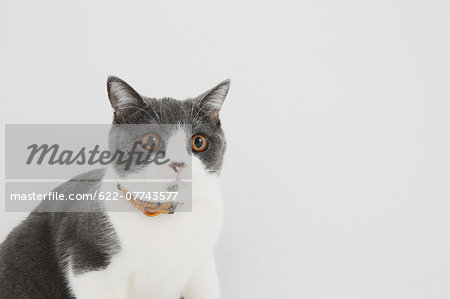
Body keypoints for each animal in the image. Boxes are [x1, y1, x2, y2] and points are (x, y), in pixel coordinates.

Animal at [0, 77, 230, 299]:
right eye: (150, 140)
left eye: (198, 142)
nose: (179, 164)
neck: (161, 216)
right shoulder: (89, 262)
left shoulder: (202, 268)